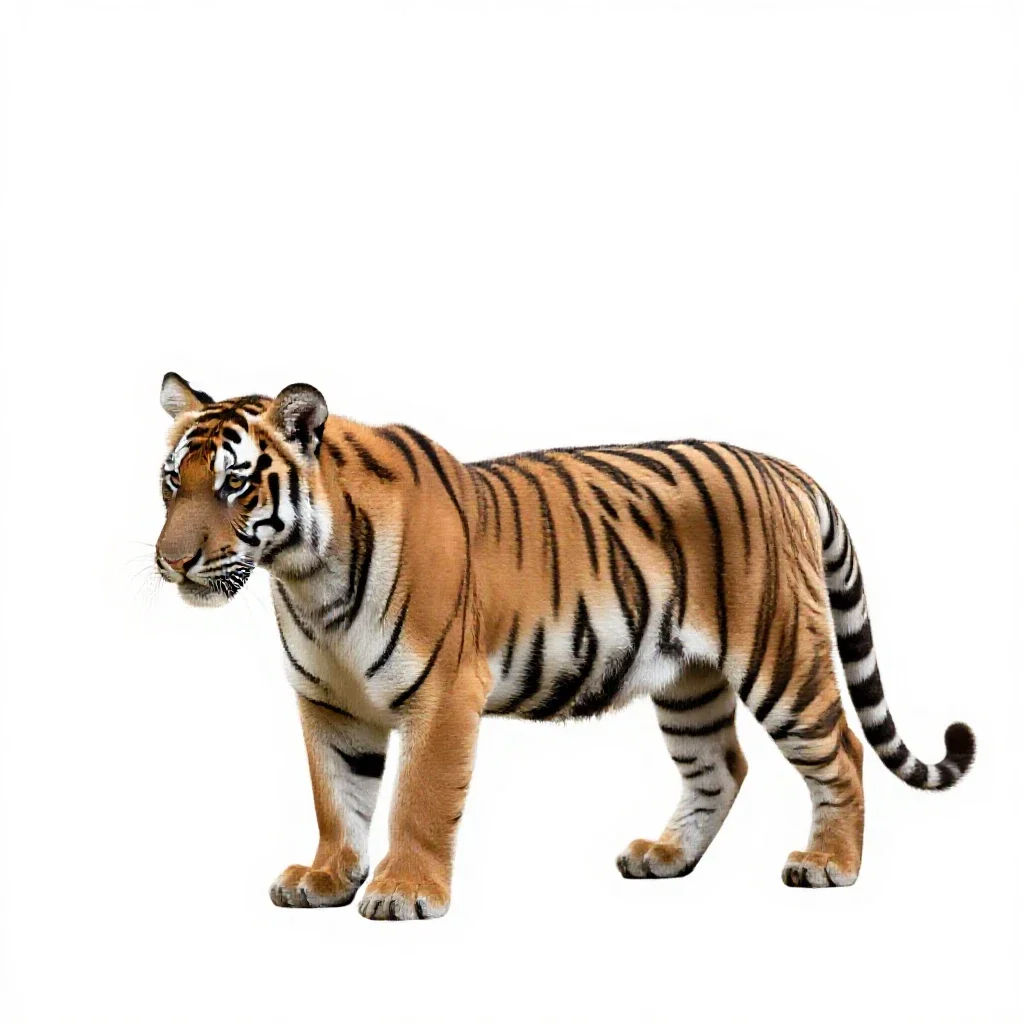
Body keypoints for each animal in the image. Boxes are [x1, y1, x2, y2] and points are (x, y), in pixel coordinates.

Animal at [155, 372, 975, 920]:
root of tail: (784, 469)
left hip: (781, 658)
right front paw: (326, 878)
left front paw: (404, 891)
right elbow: (337, 798)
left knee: (842, 750)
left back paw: (830, 865)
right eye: (172, 482)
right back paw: (664, 858)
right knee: (721, 766)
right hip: (689, 682)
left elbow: (419, 800)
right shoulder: (328, 705)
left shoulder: (444, 694)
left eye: (234, 485)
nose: (171, 562)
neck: (305, 577)